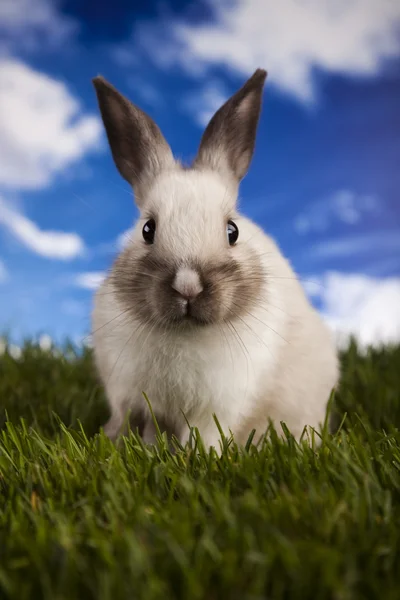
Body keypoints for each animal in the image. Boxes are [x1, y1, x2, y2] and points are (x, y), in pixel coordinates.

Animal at [92, 68, 340, 448]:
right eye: (148, 229)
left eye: (232, 231)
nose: (188, 287)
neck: (186, 333)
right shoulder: (132, 397)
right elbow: (140, 428)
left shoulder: (218, 407)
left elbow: (204, 437)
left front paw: (200, 456)